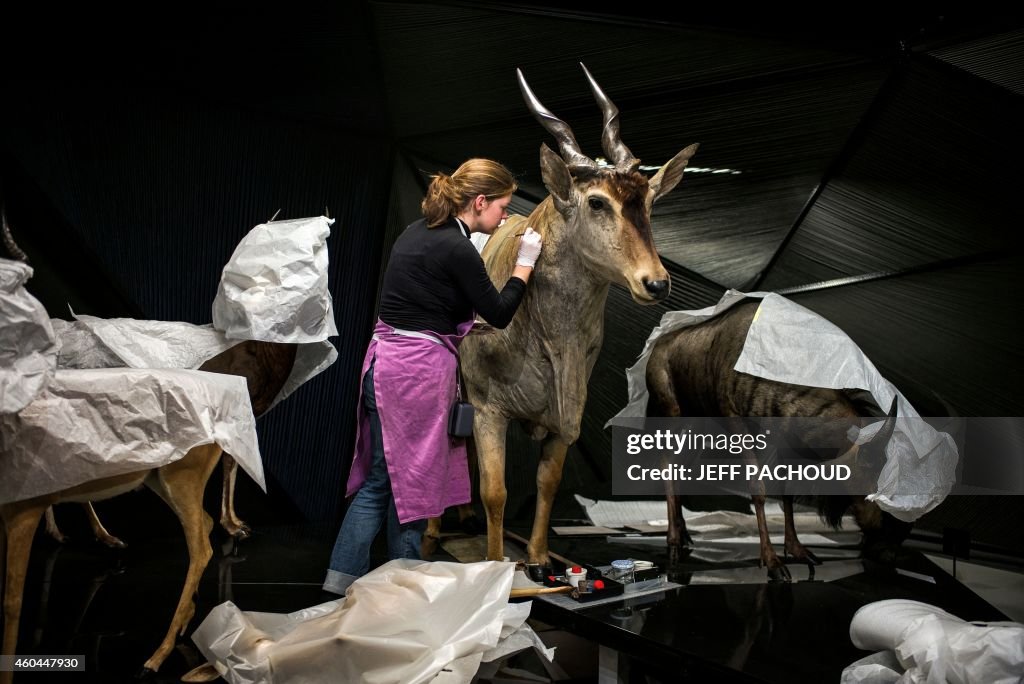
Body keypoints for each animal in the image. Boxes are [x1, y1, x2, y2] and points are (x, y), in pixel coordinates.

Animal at [460, 65, 700, 565]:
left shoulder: (562, 425)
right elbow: (496, 492)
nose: (656, 283)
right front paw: (494, 567)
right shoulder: (489, 411)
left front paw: (536, 559)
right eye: (597, 201)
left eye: (649, 202)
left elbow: (548, 483)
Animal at [647, 296, 905, 581]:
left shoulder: (784, 441)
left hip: (696, 423)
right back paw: (673, 540)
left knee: (681, 465)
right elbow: (758, 489)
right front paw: (771, 561)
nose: (891, 552)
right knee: (666, 462)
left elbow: (786, 493)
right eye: (875, 488)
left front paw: (796, 549)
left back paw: (683, 530)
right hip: (672, 413)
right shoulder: (736, 422)